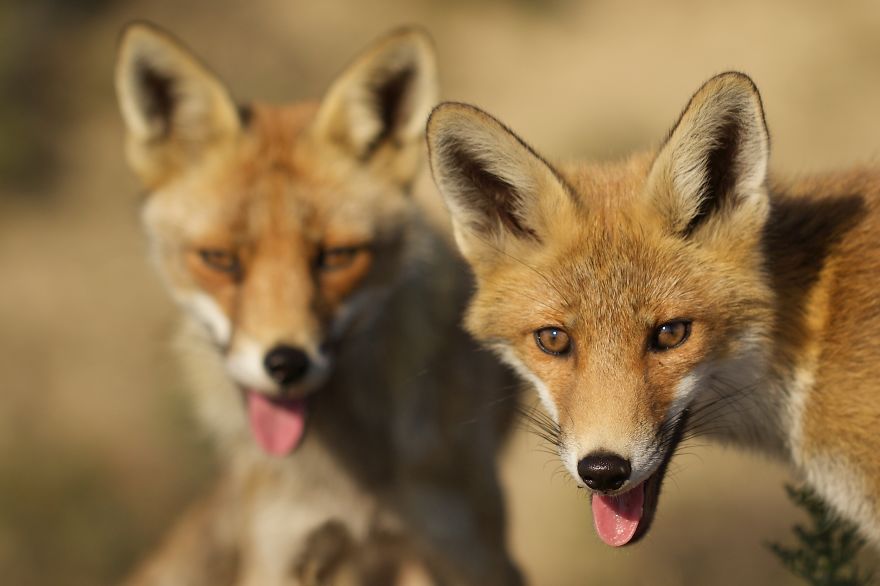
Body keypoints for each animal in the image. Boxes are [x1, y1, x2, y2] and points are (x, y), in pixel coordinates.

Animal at [115, 22, 521, 585]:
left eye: (336, 257)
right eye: (219, 259)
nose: (285, 364)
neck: (352, 485)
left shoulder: (470, 551)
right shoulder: (279, 550)